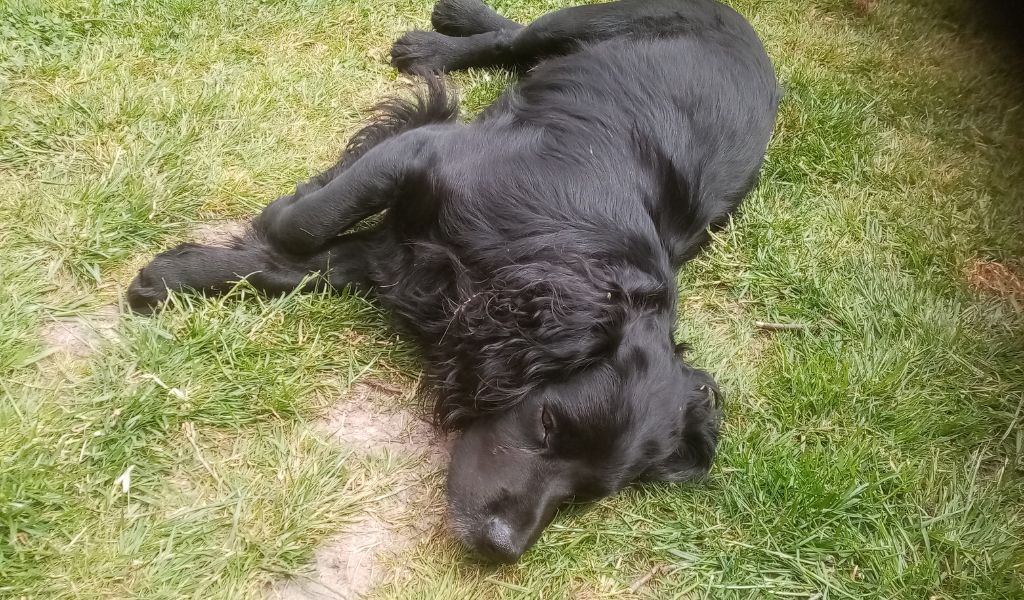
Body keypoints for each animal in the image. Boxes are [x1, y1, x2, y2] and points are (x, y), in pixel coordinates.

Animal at [125, 0, 774, 561]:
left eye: (586, 493)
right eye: (547, 424)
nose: (502, 548)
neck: (561, 254)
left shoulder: (397, 264)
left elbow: (290, 264)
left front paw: (173, 275)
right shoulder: (427, 153)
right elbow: (301, 225)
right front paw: (278, 211)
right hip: (596, 18)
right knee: (518, 37)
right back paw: (437, 36)